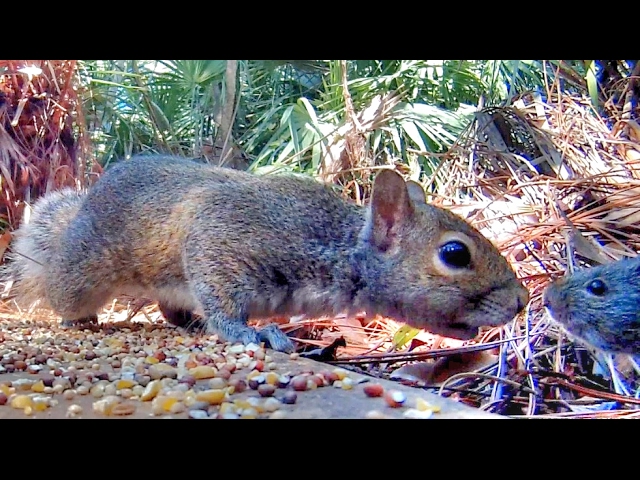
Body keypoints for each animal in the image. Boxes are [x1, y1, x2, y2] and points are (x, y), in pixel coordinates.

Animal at [6, 156, 528, 350]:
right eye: (455, 254)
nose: (522, 301)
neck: (339, 248)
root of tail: (87, 203)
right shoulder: (223, 238)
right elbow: (222, 300)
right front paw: (250, 333)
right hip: (82, 272)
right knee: (65, 290)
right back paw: (77, 317)